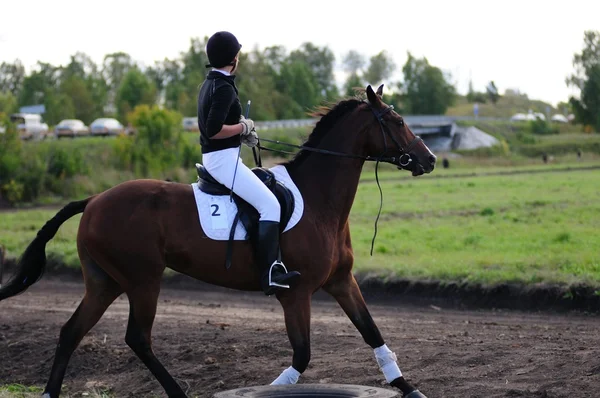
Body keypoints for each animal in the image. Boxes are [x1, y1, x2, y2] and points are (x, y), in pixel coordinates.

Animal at [0, 84, 436, 398]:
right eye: (397, 120)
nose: (429, 159)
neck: (319, 198)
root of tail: (93, 201)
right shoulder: (295, 294)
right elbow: (302, 354)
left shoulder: (341, 281)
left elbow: (372, 332)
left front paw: (409, 388)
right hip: (142, 280)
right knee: (137, 338)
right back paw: (176, 393)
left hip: (105, 282)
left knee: (71, 331)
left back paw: (50, 393)